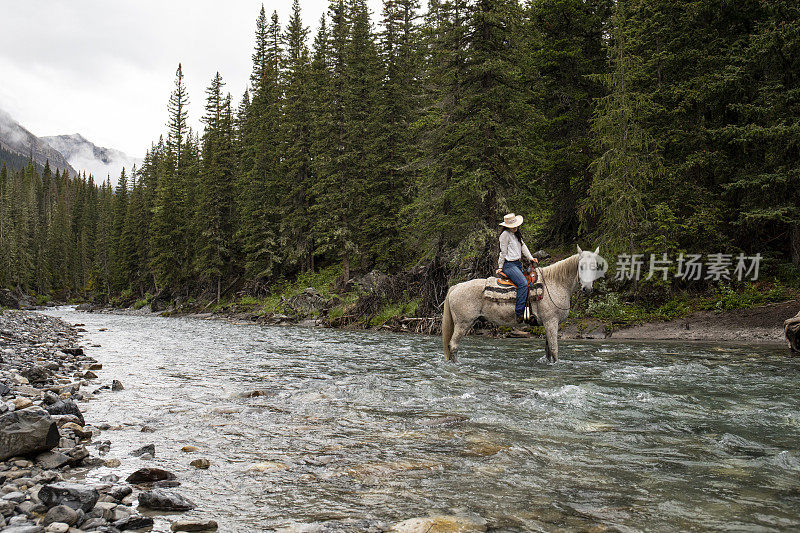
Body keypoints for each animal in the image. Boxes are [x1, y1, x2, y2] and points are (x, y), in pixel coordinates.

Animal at [440, 245, 604, 362]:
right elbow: (554, 350)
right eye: (581, 266)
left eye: (595, 266)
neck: (555, 283)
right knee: (453, 345)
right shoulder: (551, 322)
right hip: (463, 324)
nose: (587, 289)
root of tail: (456, 287)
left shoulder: (547, 324)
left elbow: (548, 352)